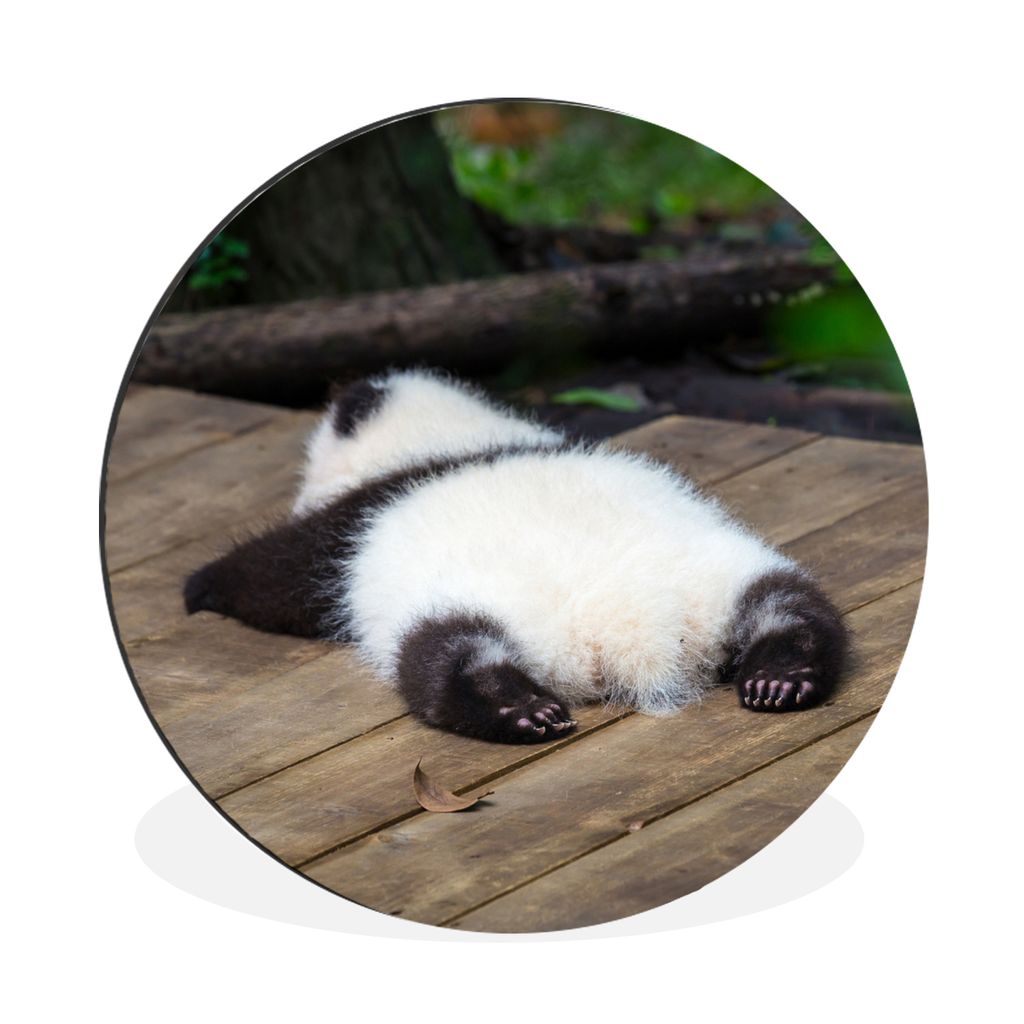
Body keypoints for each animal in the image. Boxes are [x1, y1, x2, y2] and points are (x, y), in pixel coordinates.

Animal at [185, 369, 846, 743]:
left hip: (468, 606)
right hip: (722, 572)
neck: (448, 438)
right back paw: (781, 676)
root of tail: (632, 629)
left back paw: (517, 710)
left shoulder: (351, 525)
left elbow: (277, 577)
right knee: (792, 606)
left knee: (444, 655)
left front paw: (201, 586)